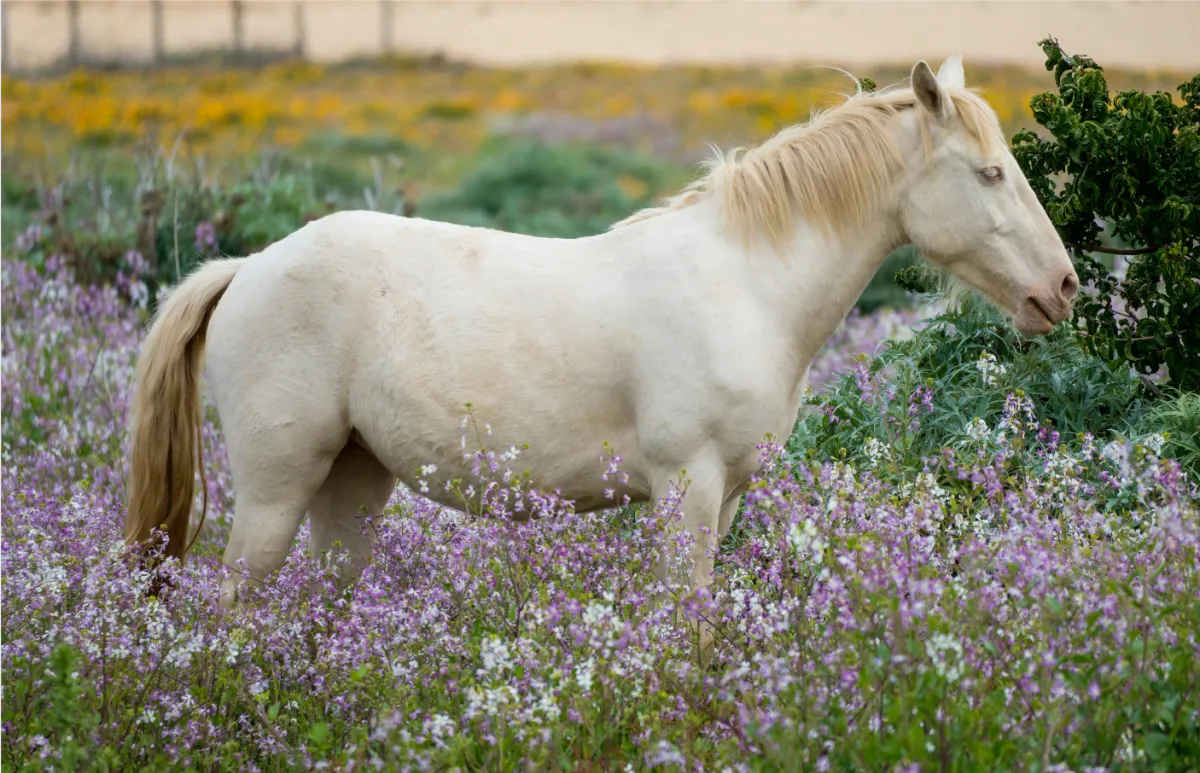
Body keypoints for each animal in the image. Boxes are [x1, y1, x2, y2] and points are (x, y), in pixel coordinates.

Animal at [124, 57, 1080, 607]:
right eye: (988, 173)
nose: (1062, 288)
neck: (744, 283)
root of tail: (246, 267)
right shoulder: (686, 487)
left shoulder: (727, 494)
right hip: (276, 494)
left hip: (352, 485)